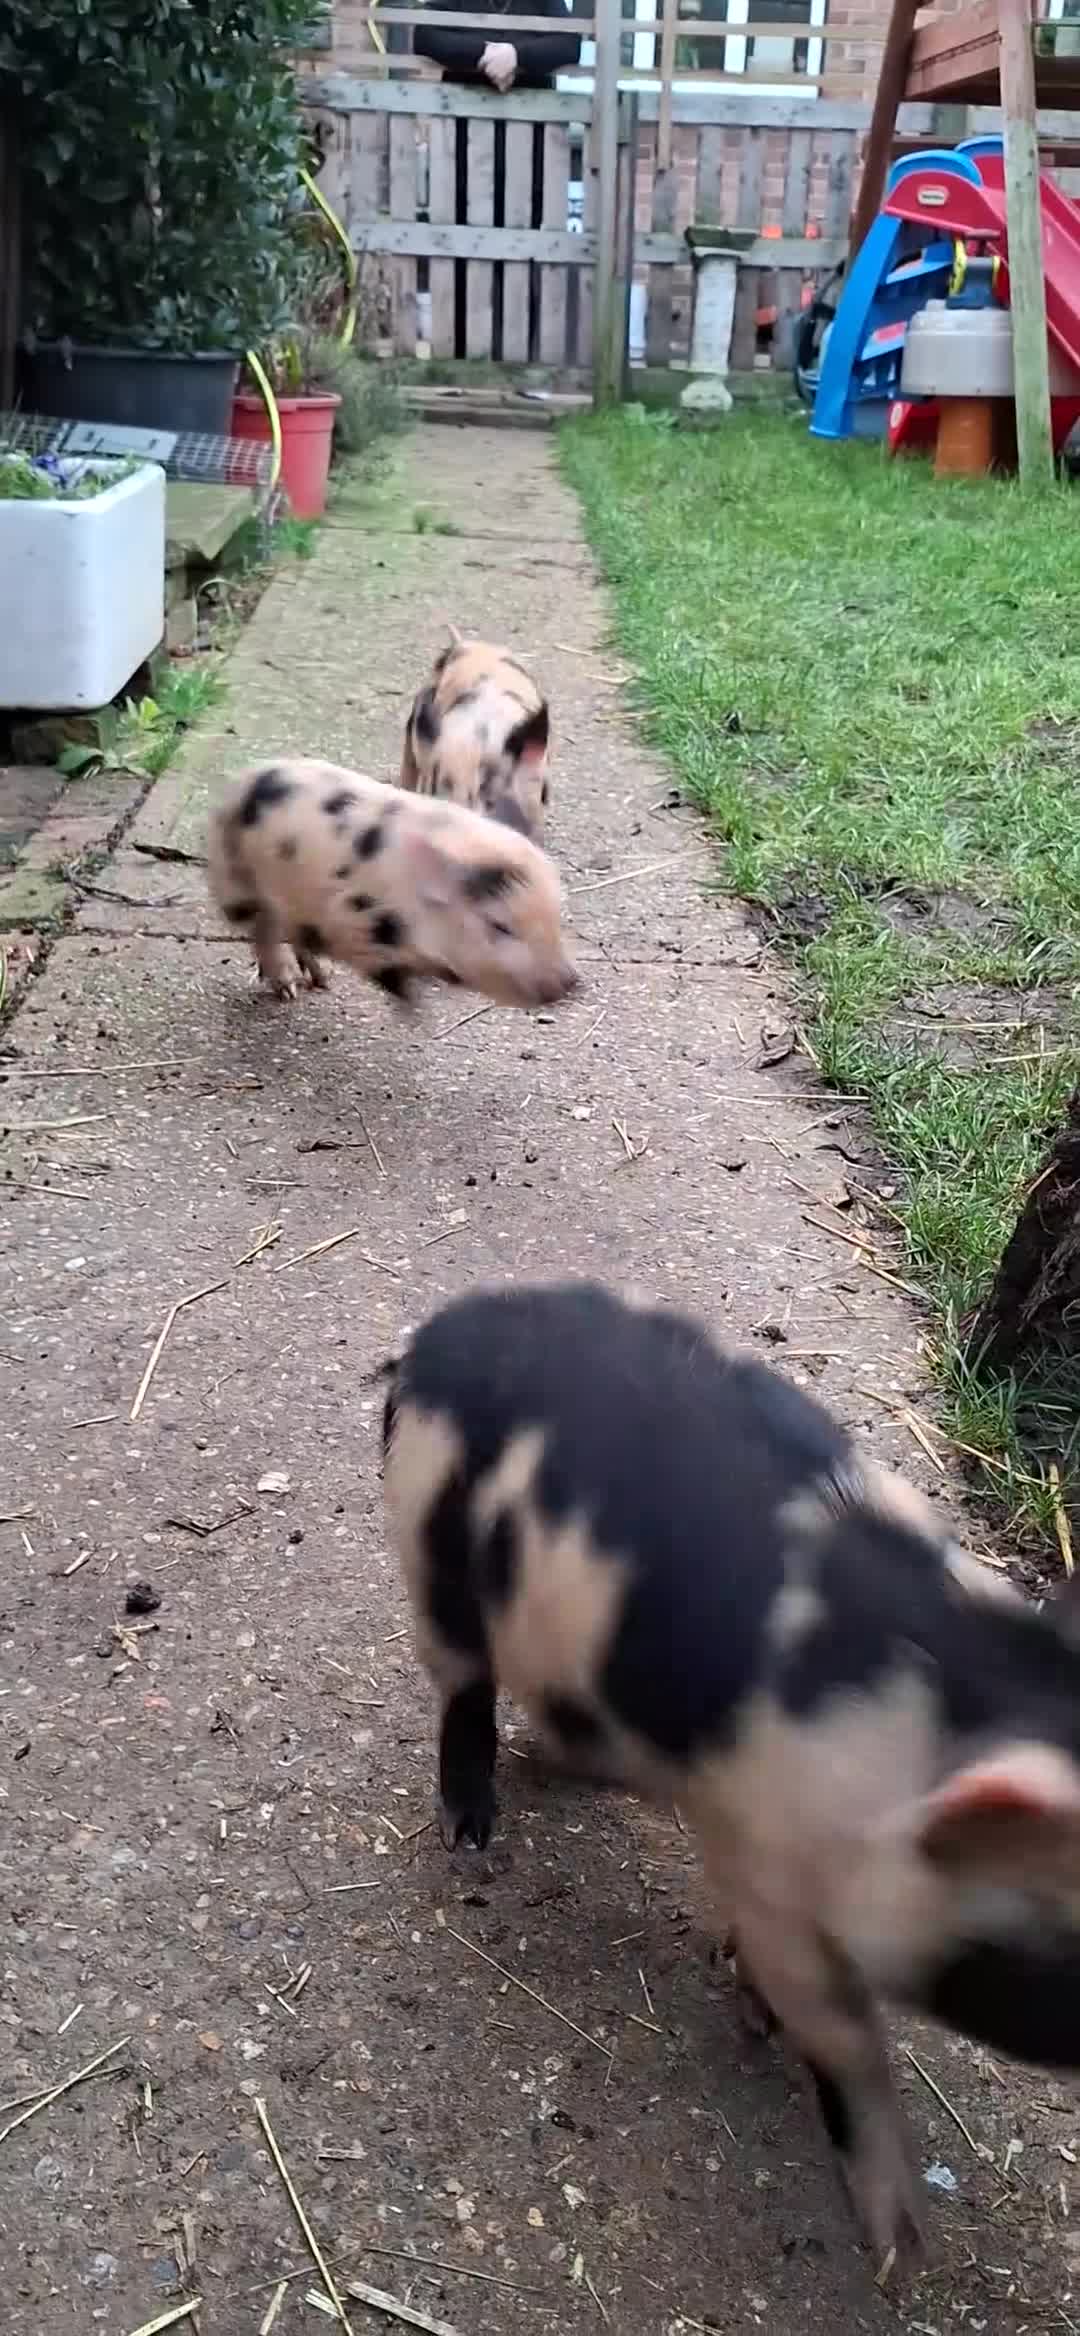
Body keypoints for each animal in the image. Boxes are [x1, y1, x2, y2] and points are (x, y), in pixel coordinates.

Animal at [206, 757, 577, 1010]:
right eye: (500, 927)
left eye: (556, 917)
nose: (571, 981)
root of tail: (232, 788)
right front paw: (413, 1008)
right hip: (237, 882)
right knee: (262, 928)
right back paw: (290, 989)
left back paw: (321, 980)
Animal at [382, 1278, 1080, 2263]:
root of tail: (432, 1343)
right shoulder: (777, 1874)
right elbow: (842, 2035)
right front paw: (902, 2250)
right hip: (433, 1556)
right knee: (464, 1690)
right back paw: (471, 1830)